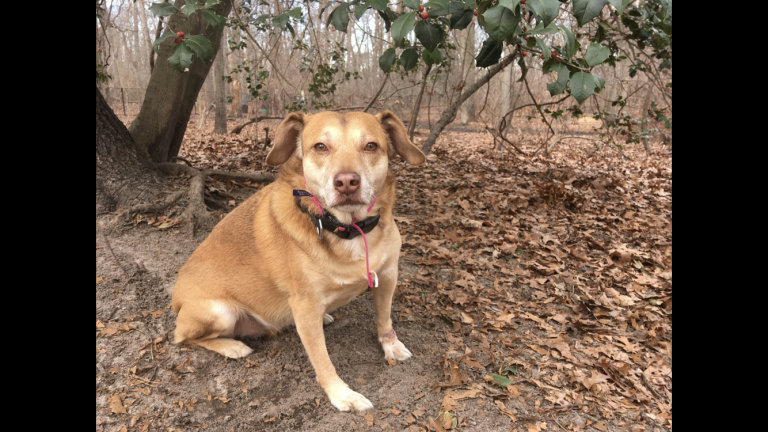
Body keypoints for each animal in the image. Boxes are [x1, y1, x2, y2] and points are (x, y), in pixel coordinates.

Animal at [171, 109, 428, 412]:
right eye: (320, 147)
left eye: (371, 146)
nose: (346, 182)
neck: (348, 230)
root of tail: (175, 297)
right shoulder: (305, 305)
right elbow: (323, 360)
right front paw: (341, 394)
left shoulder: (387, 275)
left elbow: (384, 318)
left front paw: (390, 345)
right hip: (220, 312)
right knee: (185, 337)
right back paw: (231, 346)